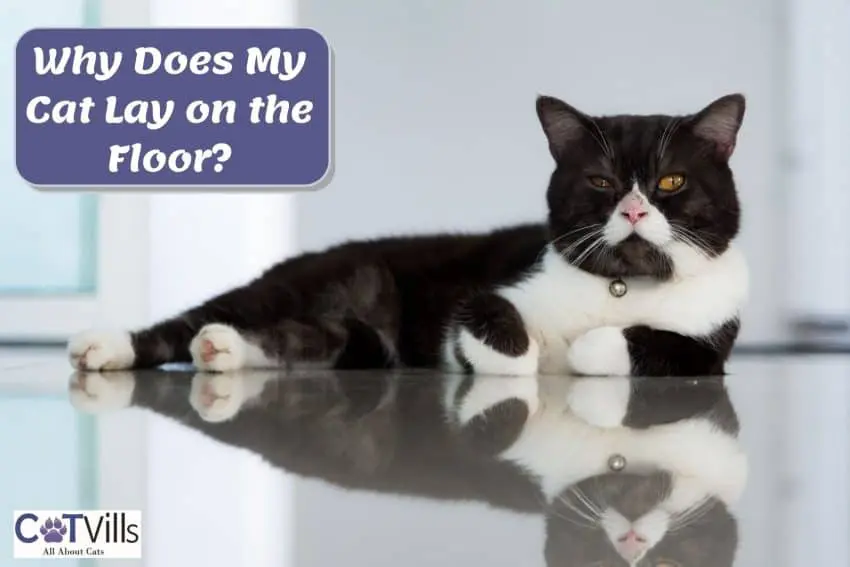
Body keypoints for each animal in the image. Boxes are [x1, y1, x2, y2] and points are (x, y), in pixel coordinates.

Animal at [66, 93, 744, 378]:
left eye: (671, 181)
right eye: (601, 181)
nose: (632, 210)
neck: (622, 287)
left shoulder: (708, 347)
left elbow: (650, 343)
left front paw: (583, 348)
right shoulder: (487, 296)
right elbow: (503, 337)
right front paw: (523, 357)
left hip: (355, 335)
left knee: (317, 340)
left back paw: (222, 351)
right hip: (306, 283)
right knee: (197, 319)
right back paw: (108, 348)